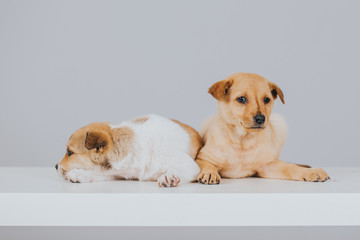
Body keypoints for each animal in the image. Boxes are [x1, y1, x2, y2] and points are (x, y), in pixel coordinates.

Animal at [56, 115, 202, 188]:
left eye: (69, 152)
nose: (56, 166)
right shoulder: (118, 173)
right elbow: (100, 173)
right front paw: (80, 174)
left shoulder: (190, 165)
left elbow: (176, 169)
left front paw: (168, 176)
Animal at [197, 72, 330, 185]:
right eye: (241, 99)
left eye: (266, 99)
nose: (261, 119)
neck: (243, 141)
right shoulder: (202, 157)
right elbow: (206, 164)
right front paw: (209, 172)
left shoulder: (268, 165)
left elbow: (289, 167)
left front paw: (310, 172)